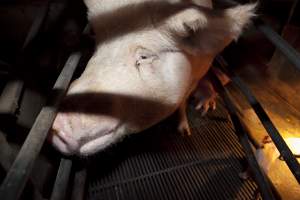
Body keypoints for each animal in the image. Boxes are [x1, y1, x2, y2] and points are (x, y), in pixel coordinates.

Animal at [48, 0, 255, 155]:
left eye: (144, 57)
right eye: (97, 46)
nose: (57, 124)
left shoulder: (199, 71)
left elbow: (182, 102)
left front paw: (184, 132)